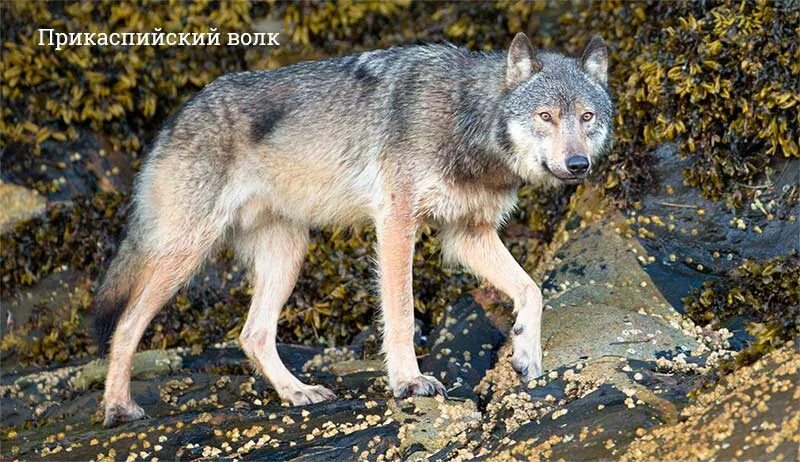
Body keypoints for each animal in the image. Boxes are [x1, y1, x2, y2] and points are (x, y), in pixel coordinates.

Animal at [97, 34, 616, 428]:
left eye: (586, 117)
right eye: (545, 116)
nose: (577, 165)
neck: (467, 117)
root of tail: (175, 118)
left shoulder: (466, 235)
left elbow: (532, 290)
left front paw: (526, 352)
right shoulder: (396, 224)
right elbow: (402, 313)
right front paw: (409, 382)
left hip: (288, 254)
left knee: (252, 334)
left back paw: (297, 392)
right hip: (185, 255)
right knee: (125, 324)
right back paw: (119, 408)